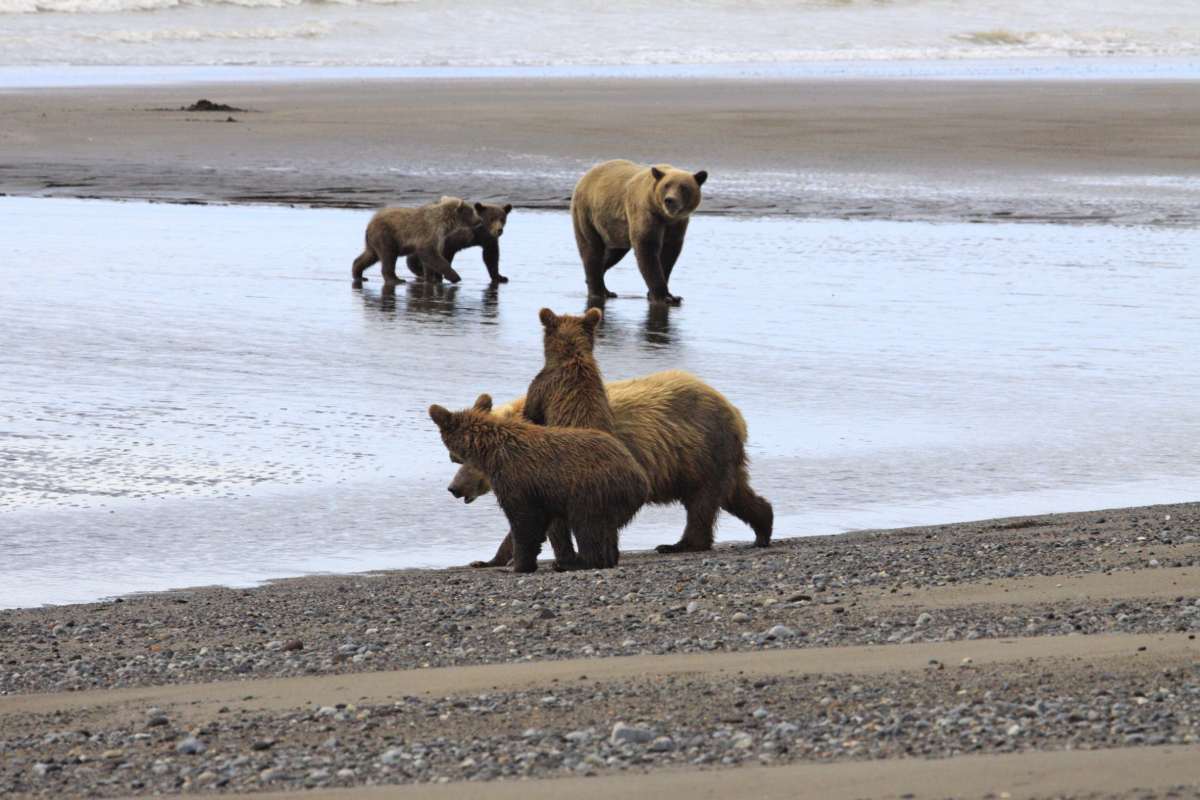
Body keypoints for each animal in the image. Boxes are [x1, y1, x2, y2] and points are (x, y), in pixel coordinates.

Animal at [351, 196, 483, 287]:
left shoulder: (439, 237)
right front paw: (455, 277)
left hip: (375, 240)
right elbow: (429, 253)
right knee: (389, 256)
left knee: (370, 255)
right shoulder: (430, 231)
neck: (446, 223)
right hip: (386, 234)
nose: (480, 220)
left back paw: (358, 275)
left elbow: (430, 257)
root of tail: (369, 224)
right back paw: (396, 280)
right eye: (472, 211)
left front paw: (431, 278)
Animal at [429, 394, 649, 573]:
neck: (490, 451)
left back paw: (577, 562)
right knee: (607, 531)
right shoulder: (540, 492)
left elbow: (523, 522)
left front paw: (519, 565)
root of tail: (640, 476)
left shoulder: (517, 480)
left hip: (592, 489)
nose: (452, 489)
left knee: (588, 527)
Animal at [446, 370, 774, 568]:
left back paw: (679, 544)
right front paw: (489, 560)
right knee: (734, 494)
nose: (454, 488)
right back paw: (763, 528)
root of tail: (734, 411)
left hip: (702, 449)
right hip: (706, 459)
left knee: (702, 504)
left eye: (466, 458)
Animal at [570, 159, 707, 306]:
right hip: (587, 213)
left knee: (613, 253)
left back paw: (605, 289)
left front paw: (669, 295)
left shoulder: (677, 224)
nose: (670, 200)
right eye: (666, 185)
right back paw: (598, 292)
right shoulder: (646, 213)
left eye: (683, 187)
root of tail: (585, 177)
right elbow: (647, 249)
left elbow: (670, 253)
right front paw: (663, 296)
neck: (663, 215)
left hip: (615, 230)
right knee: (592, 250)